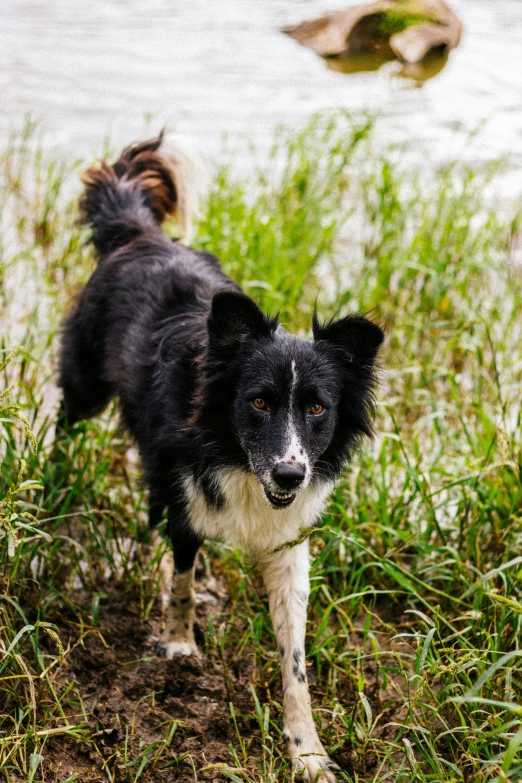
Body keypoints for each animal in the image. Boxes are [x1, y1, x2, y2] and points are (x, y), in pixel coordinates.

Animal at [59, 132, 382, 780]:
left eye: (318, 409)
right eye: (257, 402)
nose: (289, 473)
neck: (239, 461)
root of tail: (138, 233)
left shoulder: (290, 544)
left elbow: (295, 659)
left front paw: (307, 750)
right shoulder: (187, 496)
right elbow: (181, 576)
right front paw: (180, 643)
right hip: (84, 384)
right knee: (63, 420)